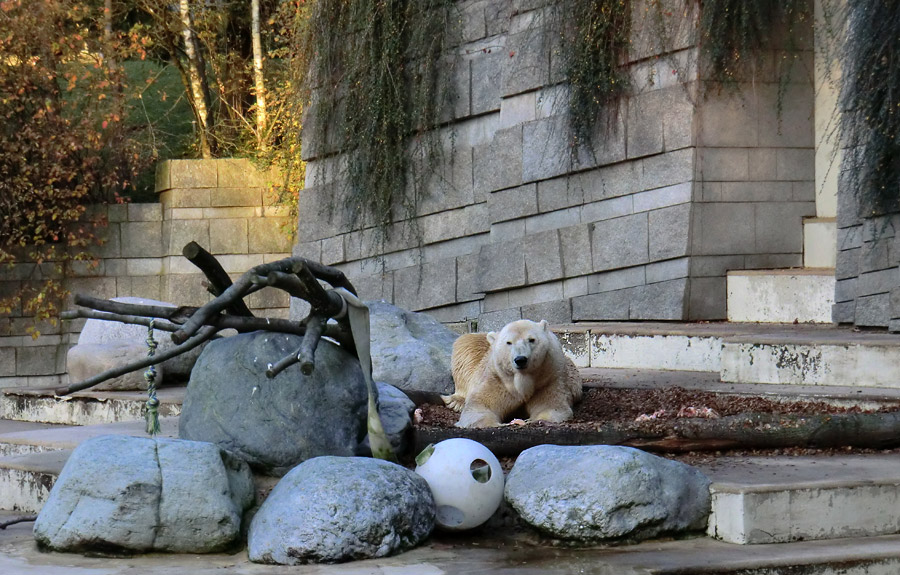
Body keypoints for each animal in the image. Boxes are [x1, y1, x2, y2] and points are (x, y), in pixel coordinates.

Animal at [442, 320, 584, 428]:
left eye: (531, 340)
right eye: (509, 342)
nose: (520, 359)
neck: (522, 381)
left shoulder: (548, 378)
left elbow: (551, 406)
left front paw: (532, 420)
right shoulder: (497, 379)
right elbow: (480, 406)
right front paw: (497, 424)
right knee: (466, 346)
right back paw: (457, 402)